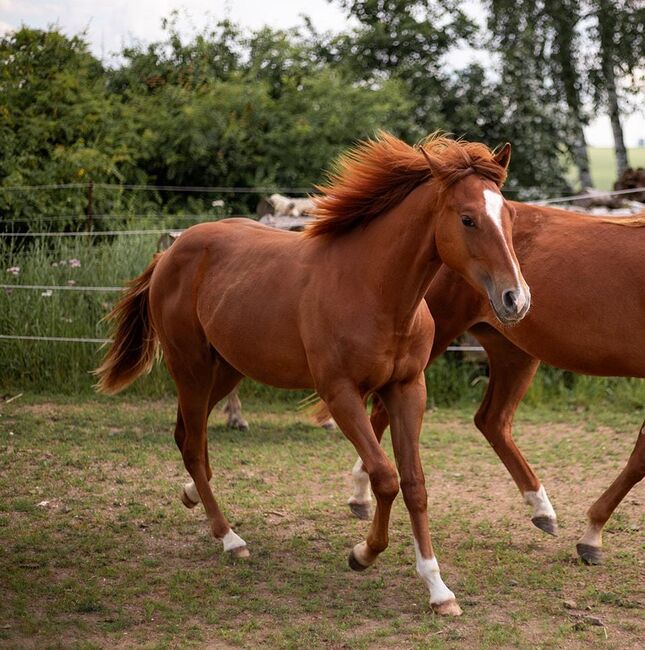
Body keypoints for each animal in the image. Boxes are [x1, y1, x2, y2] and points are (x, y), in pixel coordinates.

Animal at [95, 132, 528, 612]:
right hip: (190, 367)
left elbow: (414, 484)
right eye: (468, 219)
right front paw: (362, 554)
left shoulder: (407, 389)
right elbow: (384, 477)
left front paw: (438, 590)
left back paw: (194, 495)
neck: (372, 288)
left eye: (509, 214)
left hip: (225, 370)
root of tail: (171, 250)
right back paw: (230, 538)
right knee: (191, 443)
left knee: (188, 436)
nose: (516, 299)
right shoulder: (340, 393)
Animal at [348, 201, 644, 560]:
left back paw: (541, 509)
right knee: (383, 410)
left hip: (514, 353)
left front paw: (591, 534)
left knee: (492, 420)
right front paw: (592, 534)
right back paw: (360, 494)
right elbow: (641, 457)